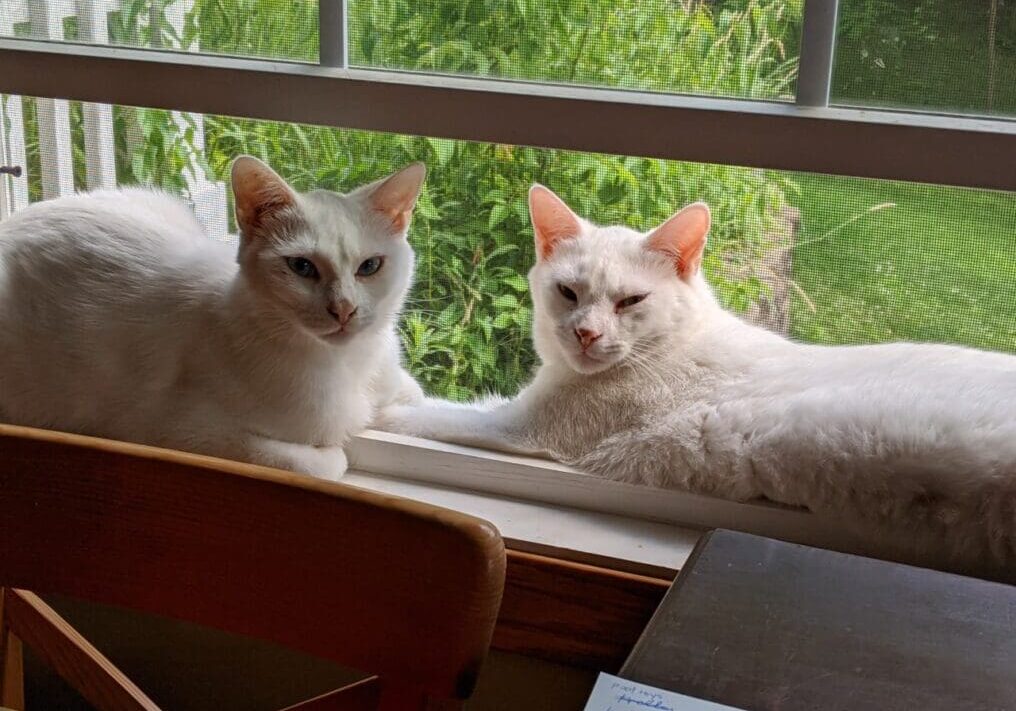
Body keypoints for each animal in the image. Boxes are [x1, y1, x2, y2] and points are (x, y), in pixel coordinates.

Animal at [0, 155, 424, 477]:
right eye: (302, 267)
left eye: (370, 266)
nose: (344, 309)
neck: (349, 363)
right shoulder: (177, 430)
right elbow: (319, 462)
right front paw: (336, 448)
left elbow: (412, 395)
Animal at [382, 185, 1016, 580]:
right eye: (567, 292)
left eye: (630, 301)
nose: (586, 333)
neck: (671, 344)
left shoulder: (521, 427)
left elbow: (440, 413)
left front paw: (384, 405)